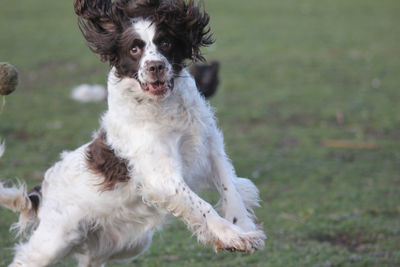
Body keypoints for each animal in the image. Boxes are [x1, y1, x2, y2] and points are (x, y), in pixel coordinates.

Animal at [0, 1, 266, 266]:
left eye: (165, 42)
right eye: (134, 49)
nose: (155, 66)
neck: (165, 106)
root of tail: (40, 193)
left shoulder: (211, 148)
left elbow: (231, 190)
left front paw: (244, 229)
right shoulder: (161, 177)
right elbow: (202, 206)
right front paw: (232, 236)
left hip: (124, 245)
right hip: (55, 241)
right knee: (26, 258)